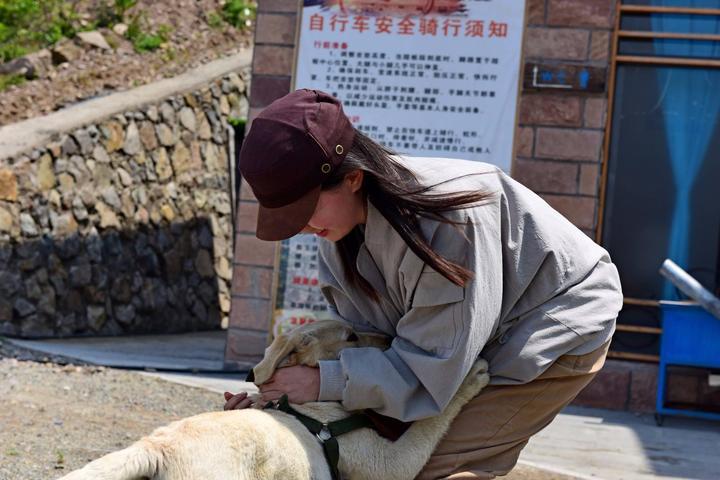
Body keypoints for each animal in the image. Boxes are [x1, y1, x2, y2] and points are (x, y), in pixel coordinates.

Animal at [57, 320, 490, 478]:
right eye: (350, 336)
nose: (388, 338)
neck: (308, 410)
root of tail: (156, 447)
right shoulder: (385, 463)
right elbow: (429, 424)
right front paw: (471, 375)